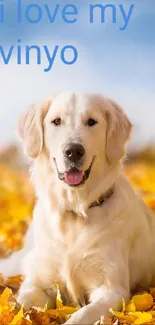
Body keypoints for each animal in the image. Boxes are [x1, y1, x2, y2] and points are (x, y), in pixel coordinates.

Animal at [1, 92, 155, 322]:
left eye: (91, 121)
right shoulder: (38, 284)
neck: (74, 211)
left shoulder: (112, 291)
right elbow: (19, 305)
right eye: (56, 121)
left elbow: (82, 315)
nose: (73, 151)